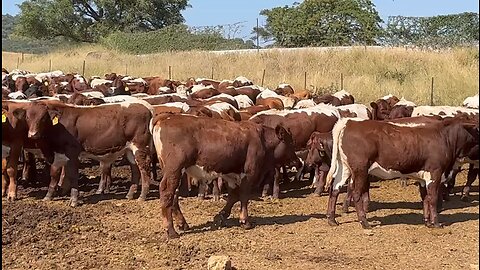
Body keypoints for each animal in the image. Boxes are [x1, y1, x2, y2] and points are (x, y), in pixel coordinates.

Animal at [150, 114, 300, 238]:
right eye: (290, 142)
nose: (297, 161)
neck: (261, 139)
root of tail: (165, 119)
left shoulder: (231, 173)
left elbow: (233, 196)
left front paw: (221, 216)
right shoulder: (250, 172)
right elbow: (244, 195)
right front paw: (245, 221)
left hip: (174, 171)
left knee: (174, 194)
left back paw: (182, 224)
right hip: (174, 169)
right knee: (167, 192)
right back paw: (171, 231)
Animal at [324, 117, 478, 229]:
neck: (443, 137)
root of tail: (349, 122)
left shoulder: (423, 178)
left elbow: (425, 199)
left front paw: (427, 222)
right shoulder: (435, 173)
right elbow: (433, 198)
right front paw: (436, 223)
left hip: (344, 168)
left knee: (335, 189)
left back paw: (332, 219)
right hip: (360, 169)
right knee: (356, 193)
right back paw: (364, 222)